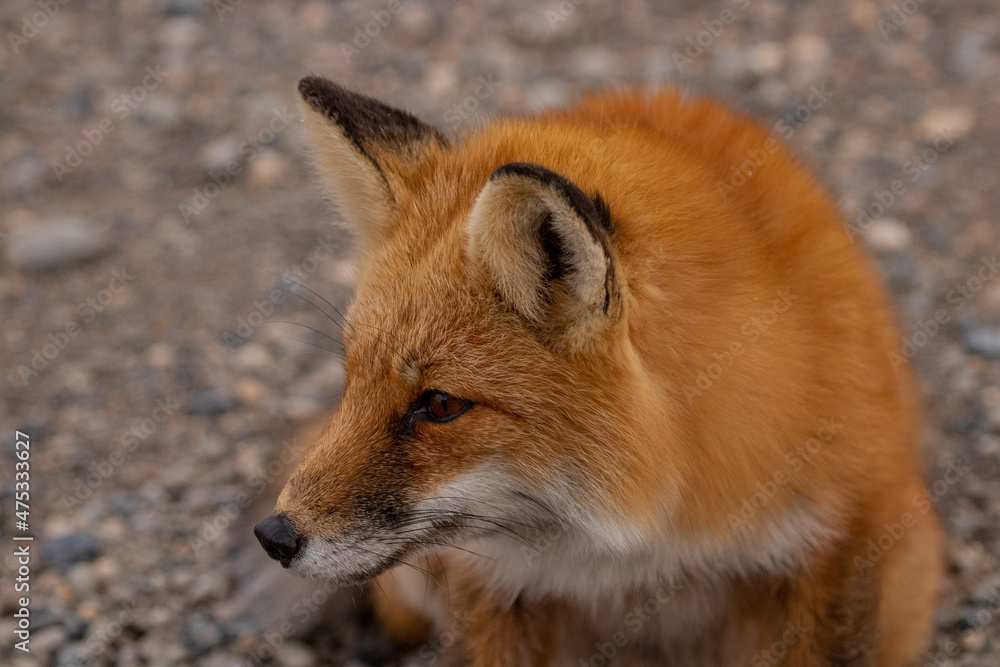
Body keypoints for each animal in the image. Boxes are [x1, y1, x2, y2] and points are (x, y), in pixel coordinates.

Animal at [253, 75, 943, 666]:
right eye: (350, 379)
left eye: (441, 404)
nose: (274, 537)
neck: (637, 541)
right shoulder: (495, 583)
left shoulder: (842, 541)